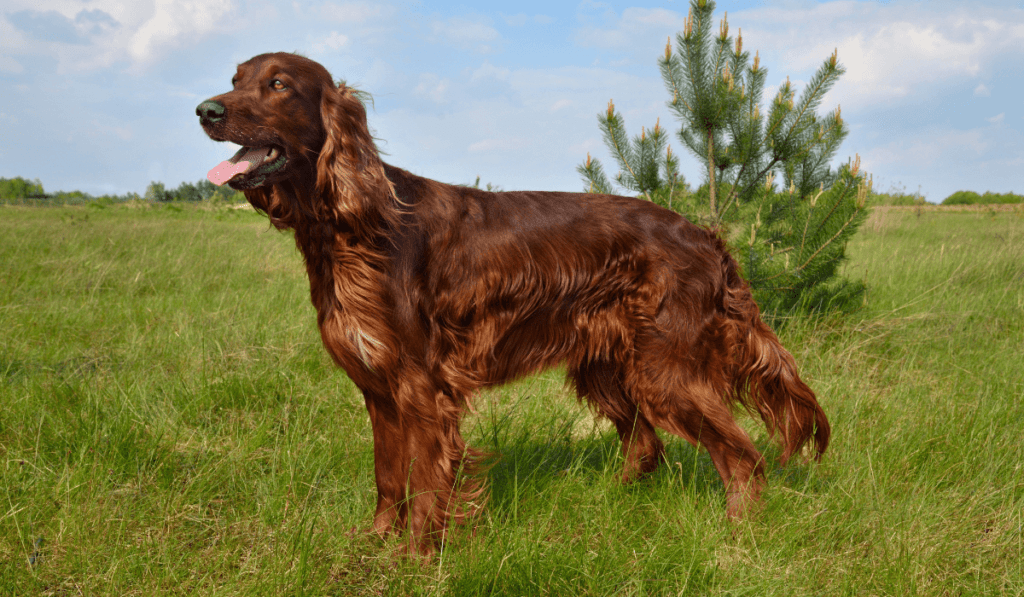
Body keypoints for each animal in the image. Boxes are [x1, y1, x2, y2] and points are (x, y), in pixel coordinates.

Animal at [195, 53, 827, 552]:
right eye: (234, 78)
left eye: (279, 84)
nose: (206, 110)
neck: (353, 225)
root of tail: (705, 235)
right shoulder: (377, 387)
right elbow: (387, 477)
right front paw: (374, 544)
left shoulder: (421, 389)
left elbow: (425, 485)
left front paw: (414, 560)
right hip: (608, 365)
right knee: (646, 446)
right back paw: (609, 505)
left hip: (664, 370)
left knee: (742, 457)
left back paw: (737, 539)